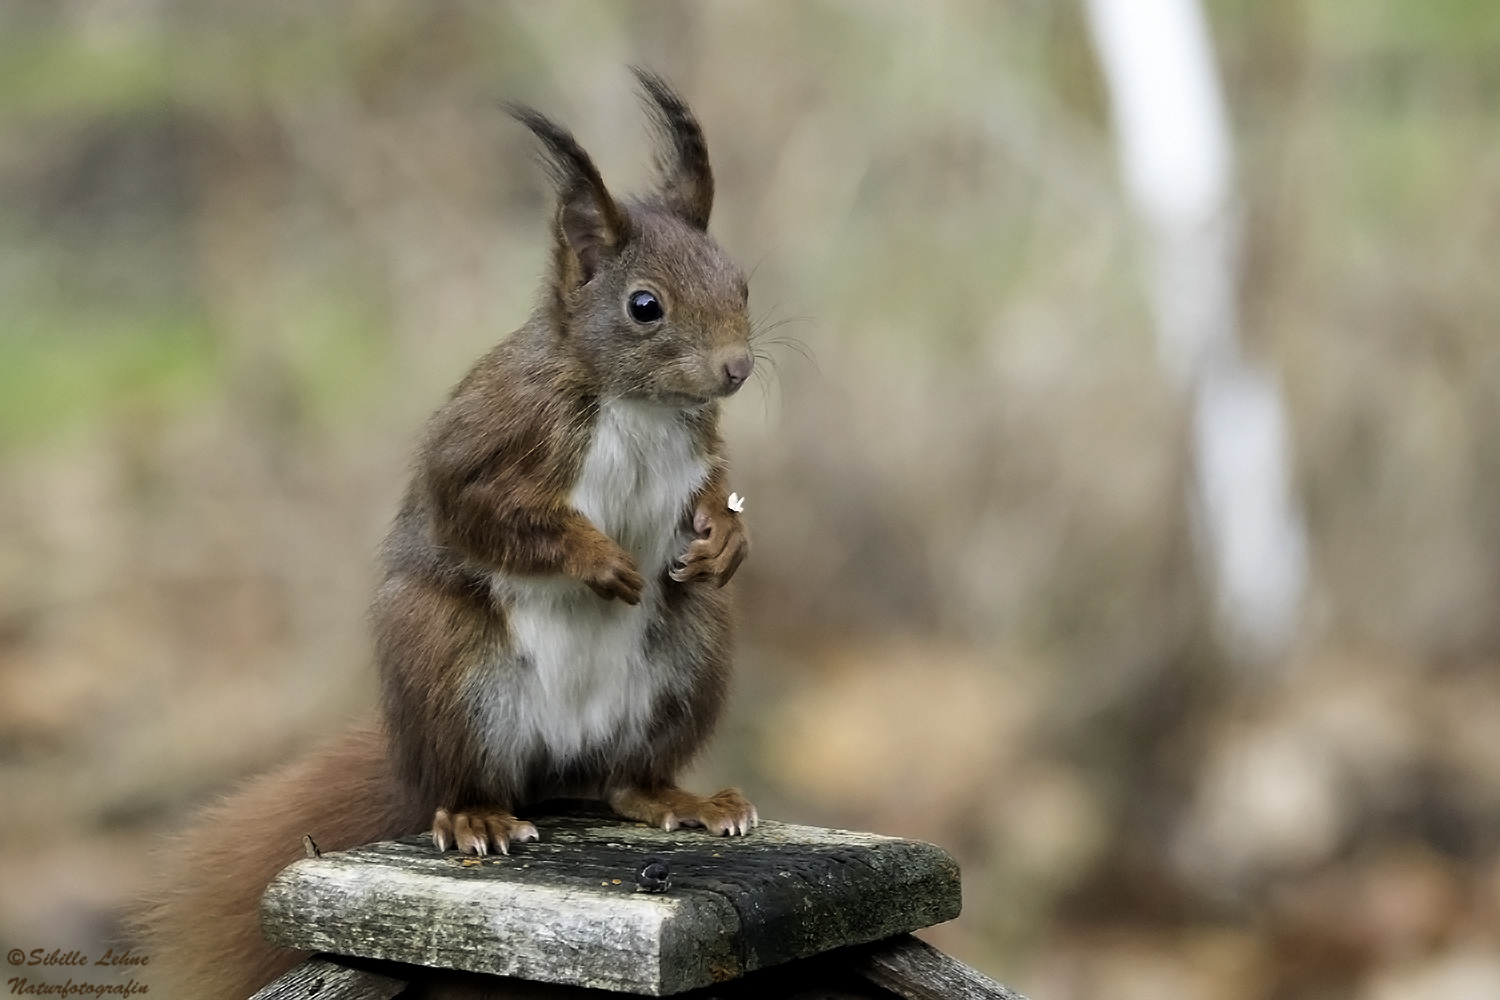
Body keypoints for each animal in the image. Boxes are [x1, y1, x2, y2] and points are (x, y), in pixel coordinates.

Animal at [136, 72, 756, 1000]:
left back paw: (678, 800)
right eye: (645, 307)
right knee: (466, 778)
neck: (636, 402)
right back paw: (473, 818)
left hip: (688, 661)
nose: (737, 368)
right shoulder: (489, 436)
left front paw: (725, 541)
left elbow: (714, 485)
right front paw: (599, 560)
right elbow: (478, 511)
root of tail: (556, 765)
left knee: (625, 782)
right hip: (445, 665)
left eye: (741, 283)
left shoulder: (696, 442)